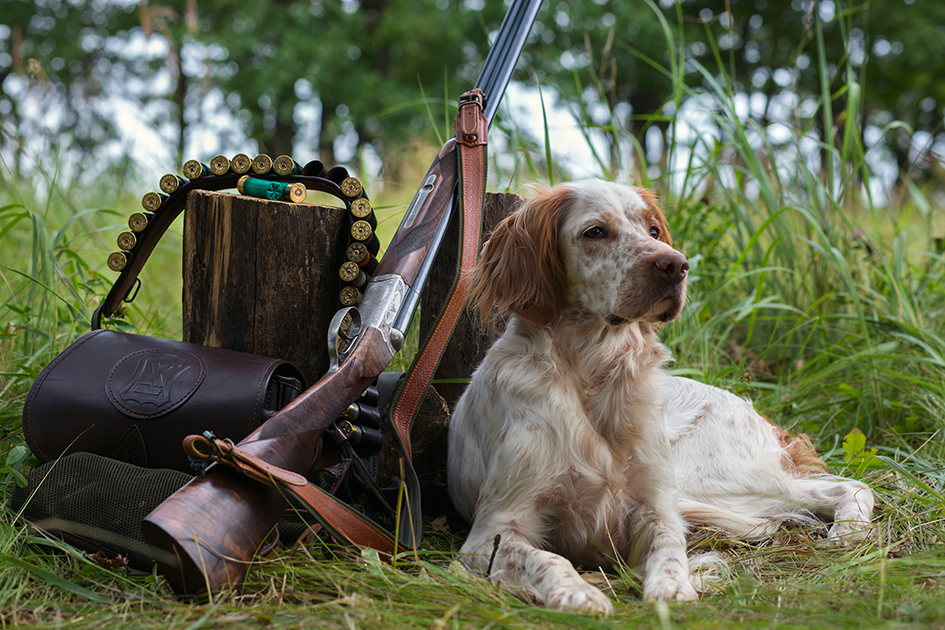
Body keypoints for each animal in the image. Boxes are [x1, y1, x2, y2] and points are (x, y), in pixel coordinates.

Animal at [446, 180, 872, 616]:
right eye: (595, 232)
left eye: (653, 230)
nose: (676, 264)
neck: (593, 373)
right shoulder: (493, 530)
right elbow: (547, 558)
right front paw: (578, 593)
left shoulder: (656, 504)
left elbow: (669, 547)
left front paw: (673, 587)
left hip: (705, 479)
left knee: (850, 486)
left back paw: (849, 532)